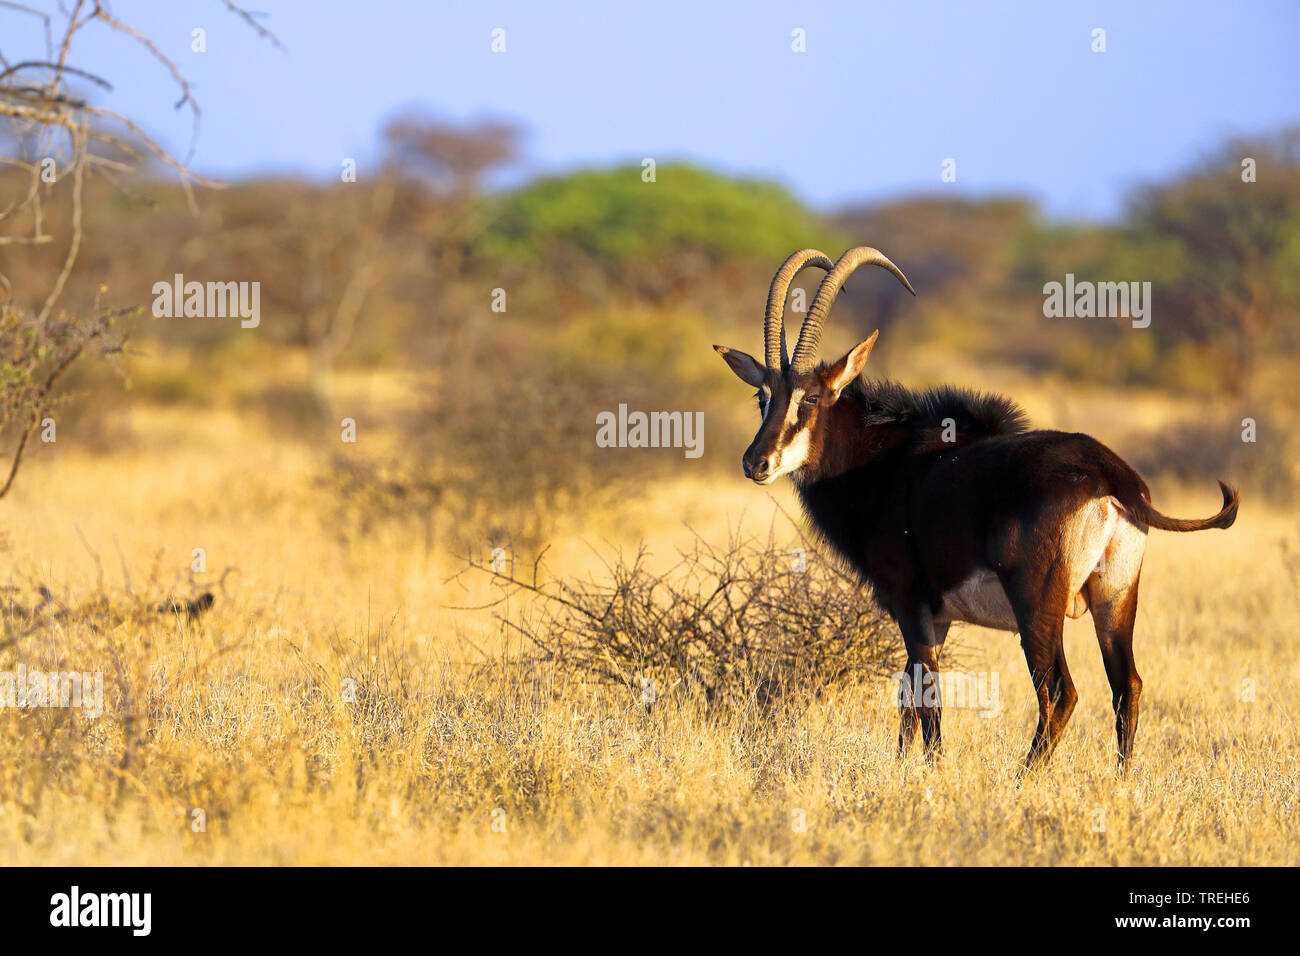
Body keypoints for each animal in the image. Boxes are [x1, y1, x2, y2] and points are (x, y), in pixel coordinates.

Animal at [722, 248, 1237, 770]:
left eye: (810, 397)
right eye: (762, 396)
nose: (756, 462)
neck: (882, 457)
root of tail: (1113, 479)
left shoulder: (910, 602)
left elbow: (927, 696)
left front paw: (930, 772)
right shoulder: (940, 617)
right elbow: (908, 696)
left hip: (1037, 605)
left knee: (1061, 692)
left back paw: (1023, 778)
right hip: (1116, 597)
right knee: (1126, 685)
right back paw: (1121, 780)